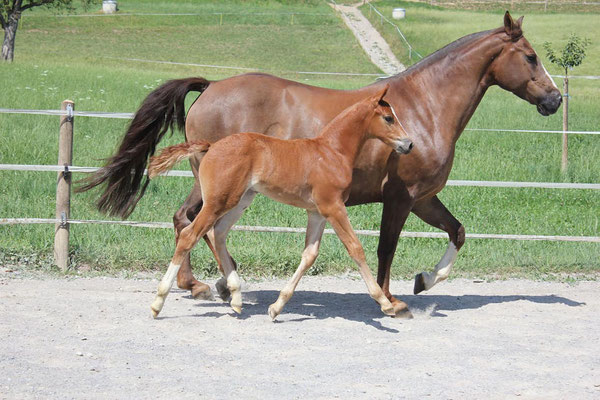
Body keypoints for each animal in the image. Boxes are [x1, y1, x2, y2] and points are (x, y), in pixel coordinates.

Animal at [77, 12, 560, 318]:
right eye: (531, 57)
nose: (555, 99)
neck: (424, 108)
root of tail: (211, 86)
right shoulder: (400, 197)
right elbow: (384, 248)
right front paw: (391, 300)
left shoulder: (424, 198)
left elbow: (457, 232)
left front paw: (423, 280)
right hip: (217, 185)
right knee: (194, 224)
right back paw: (211, 287)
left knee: (193, 223)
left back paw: (213, 287)